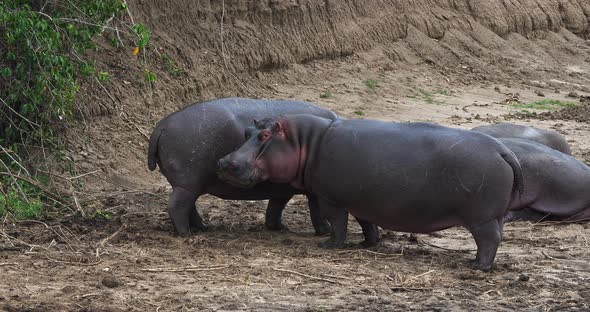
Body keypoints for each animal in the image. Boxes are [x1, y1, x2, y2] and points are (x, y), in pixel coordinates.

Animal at [148, 97, 338, 236]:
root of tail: (162, 125)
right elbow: (316, 208)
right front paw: (325, 231)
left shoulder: (282, 188)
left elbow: (276, 205)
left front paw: (279, 227)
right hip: (188, 183)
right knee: (177, 206)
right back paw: (186, 233)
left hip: (190, 184)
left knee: (189, 206)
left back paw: (203, 227)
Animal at [220, 114, 524, 270]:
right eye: (247, 131)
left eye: (264, 136)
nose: (225, 161)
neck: (305, 141)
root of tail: (503, 150)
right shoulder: (362, 200)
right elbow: (367, 224)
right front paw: (367, 244)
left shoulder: (332, 199)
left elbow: (338, 224)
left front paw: (329, 245)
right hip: (494, 215)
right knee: (496, 237)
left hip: (481, 217)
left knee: (489, 240)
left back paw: (476, 266)